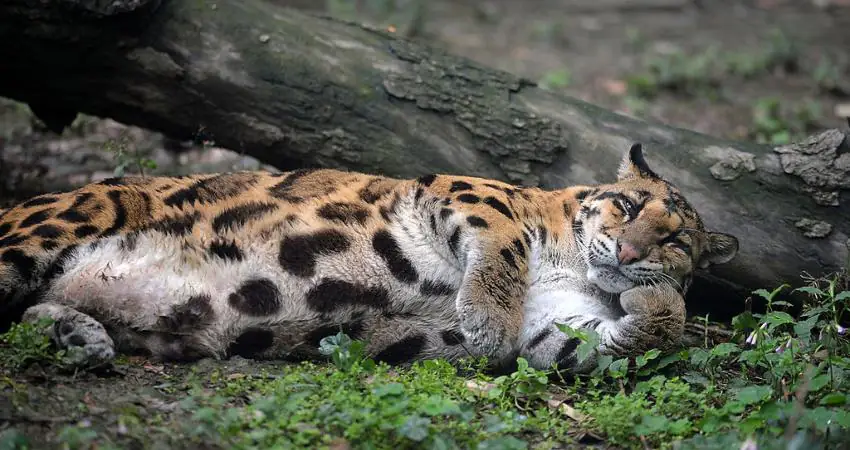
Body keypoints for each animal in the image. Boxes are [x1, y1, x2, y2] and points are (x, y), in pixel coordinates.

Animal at [0, 143, 738, 373]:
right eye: (630, 207)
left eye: (675, 240)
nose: (632, 250)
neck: (577, 265)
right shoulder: (464, 192)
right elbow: (502, 250)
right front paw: (485, 321)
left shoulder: (554, 328)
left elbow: (629, 335)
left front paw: (657, 299)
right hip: (58, 224)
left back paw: (79, 335)